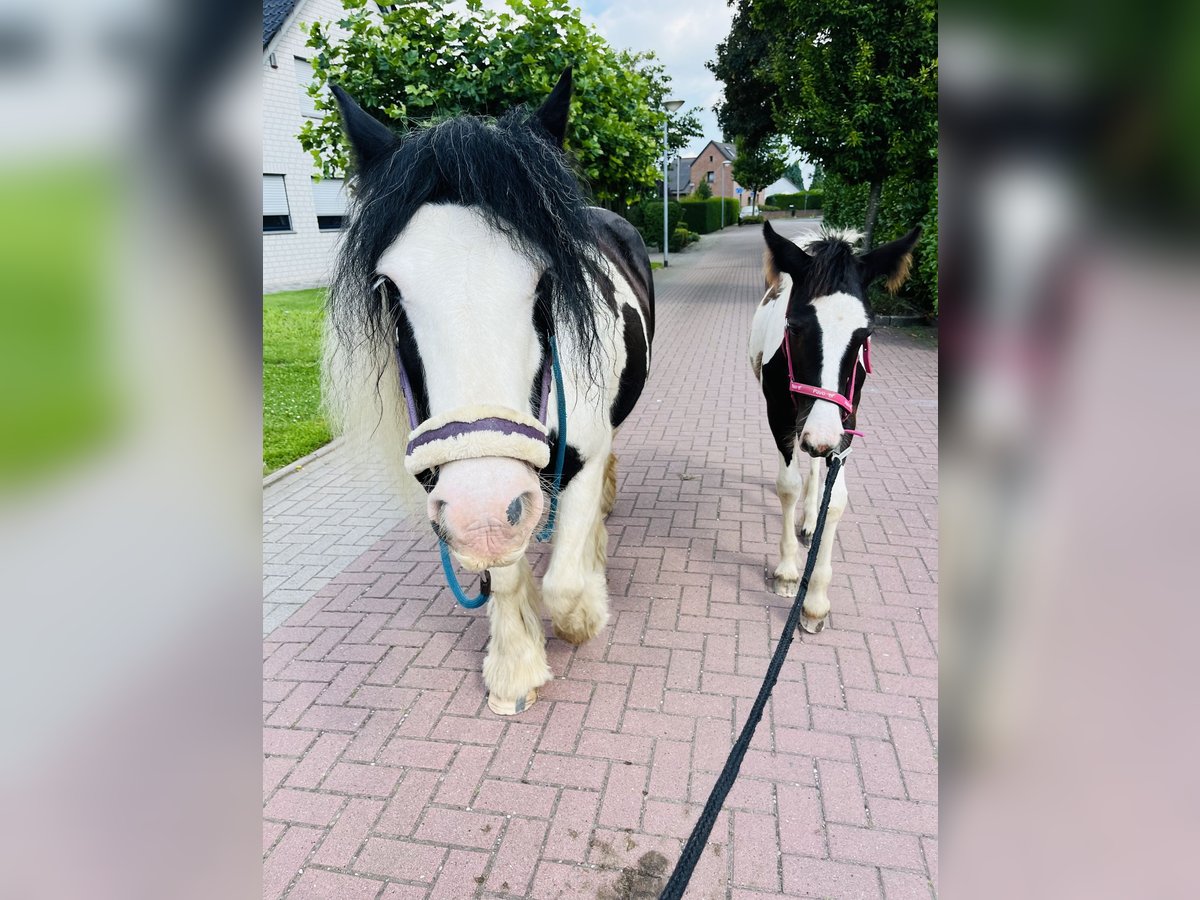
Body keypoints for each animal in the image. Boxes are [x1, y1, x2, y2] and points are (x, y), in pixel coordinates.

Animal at [324, 70, 652, 715]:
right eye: (388, 288)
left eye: (548, 283)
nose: (482, 510)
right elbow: (503, 569)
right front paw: (515, 665)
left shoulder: (579, 457)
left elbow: (565, 588)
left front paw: (586, 610)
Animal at [748, 224, 916, 633]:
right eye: (793, 327)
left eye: (865, 333)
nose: (821, 438)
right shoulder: (780, 416)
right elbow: (788, 486)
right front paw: (788, 573)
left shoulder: (846, 420)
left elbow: (835, 498)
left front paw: (816, 601)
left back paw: (811, 519)